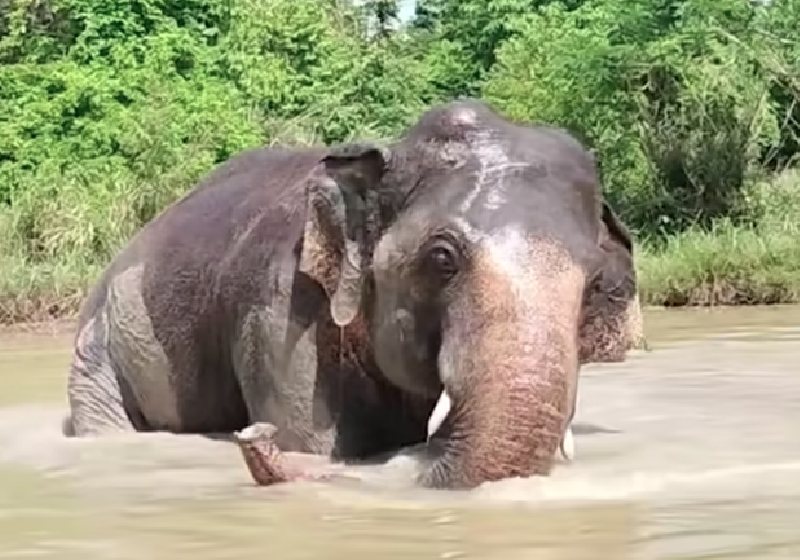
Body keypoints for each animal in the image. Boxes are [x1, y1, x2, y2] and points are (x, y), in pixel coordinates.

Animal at [64, 99, 644, 489]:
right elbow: (313, 445)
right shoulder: (280, 312)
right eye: (442, 258)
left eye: (596, 282)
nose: (251, 434)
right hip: (100, 340)